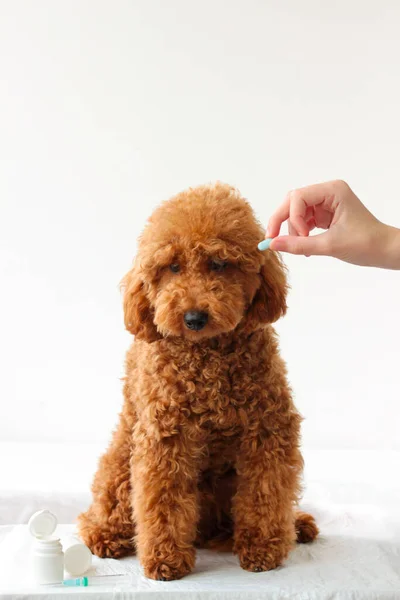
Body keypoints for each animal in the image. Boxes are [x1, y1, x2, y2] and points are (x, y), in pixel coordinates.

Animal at [78, 184, 318, 580]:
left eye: (219, 264)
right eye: (172, 267)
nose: (193, 317)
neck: (209, 357)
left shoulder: (267, 430)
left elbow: (266, 491)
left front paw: (263, 548)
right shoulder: (165, 437)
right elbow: (163, 499)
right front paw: (165, 559)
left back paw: (297, 525)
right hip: (120, 461)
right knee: (104, 506)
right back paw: (106, 535)